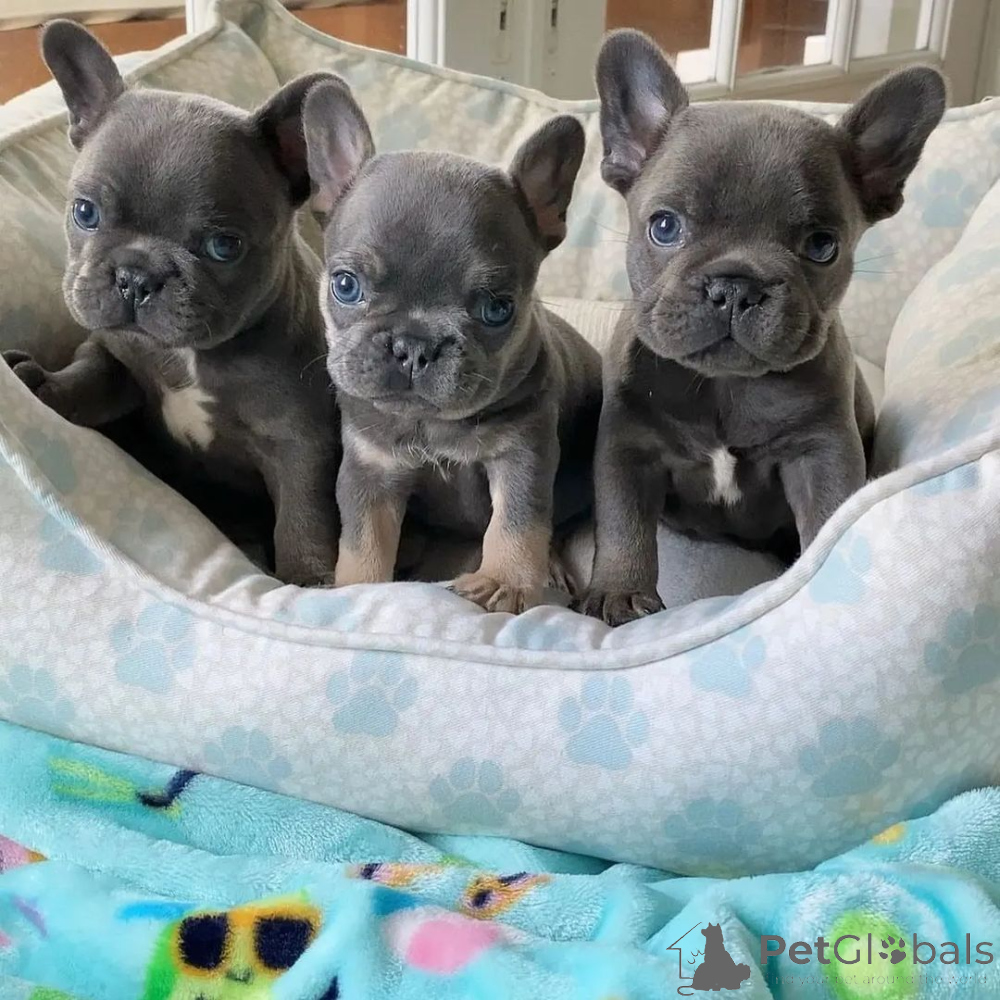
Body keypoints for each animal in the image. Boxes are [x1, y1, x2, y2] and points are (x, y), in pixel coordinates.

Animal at [2, 21, 343, 586]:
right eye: (85, 212)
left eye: (224, 246)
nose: (136, 277)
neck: (187, 357)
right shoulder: (115, 355)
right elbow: (87, 378)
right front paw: (44, 385)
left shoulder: (300, 444)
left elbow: (304, 517)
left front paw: (309, 580)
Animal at [302, 81, 602, 613]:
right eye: (345, 285)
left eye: (498, 309)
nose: (414, 346)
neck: (433, 425)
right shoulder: (370, 470)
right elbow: (363, 539)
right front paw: (355, 589)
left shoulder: (523, 456)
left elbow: (516, 523)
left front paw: (504, 580)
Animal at [577, 30, 946, 626]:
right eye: (664, 226)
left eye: (822, 245)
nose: (735, 285)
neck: (727, 387)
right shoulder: (628, 449)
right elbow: (623, 523)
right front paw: (621, 594)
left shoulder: (822, 453)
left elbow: (827, 520)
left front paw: (811, 585)